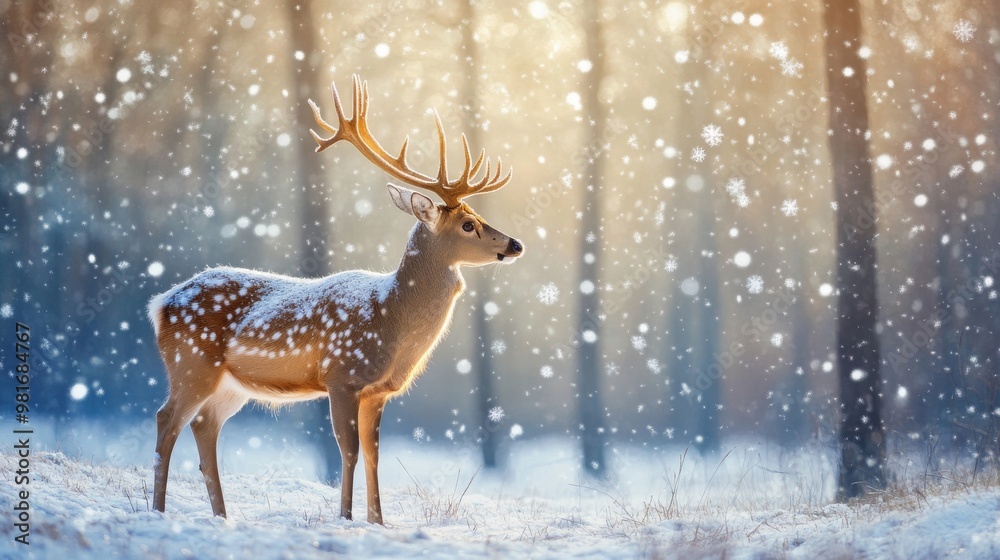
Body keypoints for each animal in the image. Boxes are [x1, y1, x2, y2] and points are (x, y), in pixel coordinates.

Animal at [148, 75, 523, 524]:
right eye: (468, 224)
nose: (515, 244)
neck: (391, 317)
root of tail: (160, 304)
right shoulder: (342, 375)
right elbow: (350, 451)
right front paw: (345, 517)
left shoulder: (377, 390)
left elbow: (375, 455)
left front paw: (378, 521)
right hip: (191, 363)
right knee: (166, 420)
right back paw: (157, 511)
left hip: (229, 385)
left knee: (204, 426)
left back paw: (222, 516)